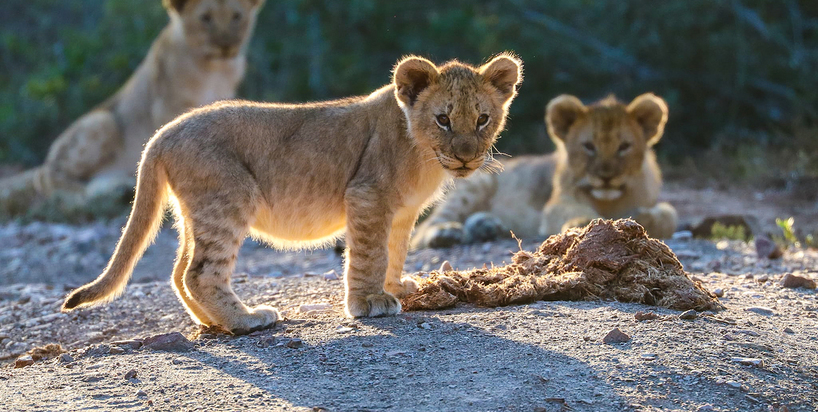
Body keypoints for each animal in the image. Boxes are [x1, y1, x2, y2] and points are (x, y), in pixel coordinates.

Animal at [0, 0, 262, 216]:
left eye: (237, 16)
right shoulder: (168, 105)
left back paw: (119, 190)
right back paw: (91, 198)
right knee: (46, 177)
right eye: (205, 18)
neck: (215, 68)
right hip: (103, 122)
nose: (226, 45)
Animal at [414, 93, 676, 248]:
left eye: (624, 147)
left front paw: (643, 218)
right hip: (477, 185)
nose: (606, 177)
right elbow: (572, 212)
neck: (608, 201)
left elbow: (669, 216)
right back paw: (446, 234)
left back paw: (487, 227)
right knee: (425, 228)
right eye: (589, 146)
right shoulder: (556, 205)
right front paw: (583, 222)